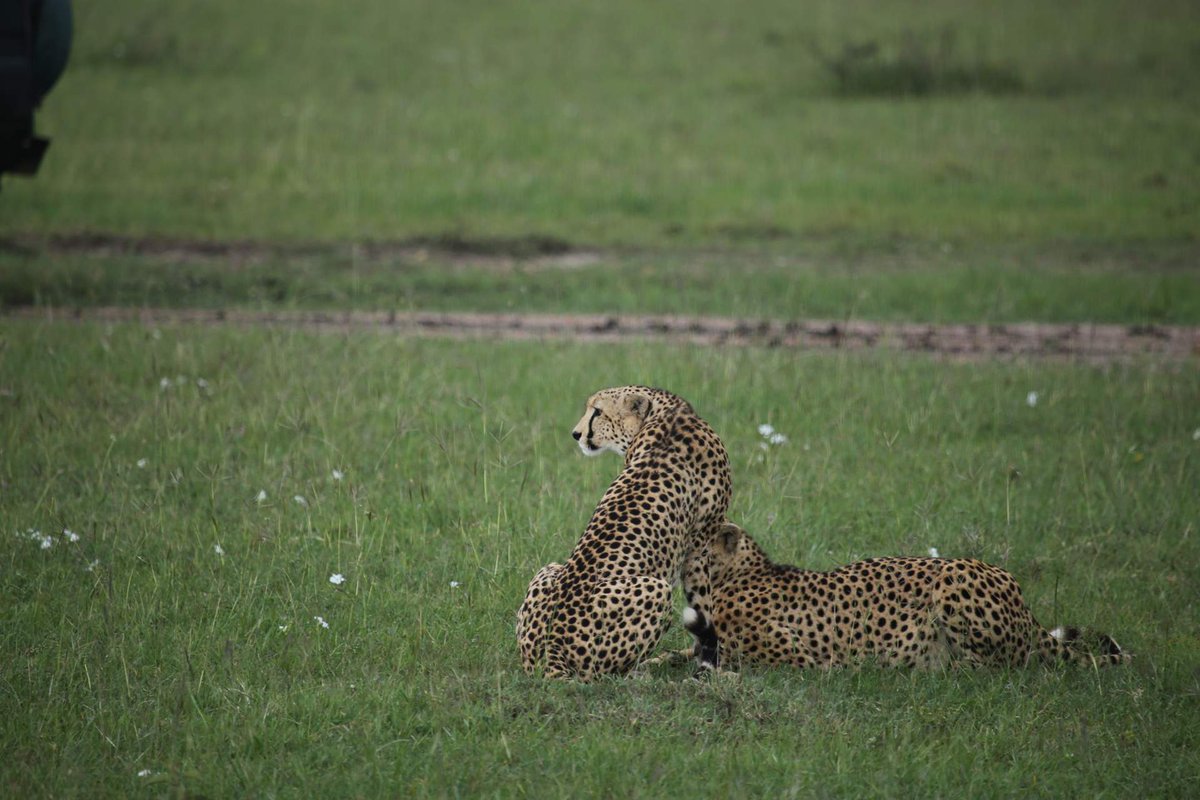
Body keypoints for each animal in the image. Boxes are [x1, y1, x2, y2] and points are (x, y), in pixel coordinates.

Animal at [516, 388, 729, 681]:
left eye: (598, 411)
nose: (576, 434)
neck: (664, 412)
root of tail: (552, 653)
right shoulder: (699, 547)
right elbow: (702, 605)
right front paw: (711, 663)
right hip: (656, 590)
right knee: (607, 676)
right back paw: (647, 669)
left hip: (549, 569)